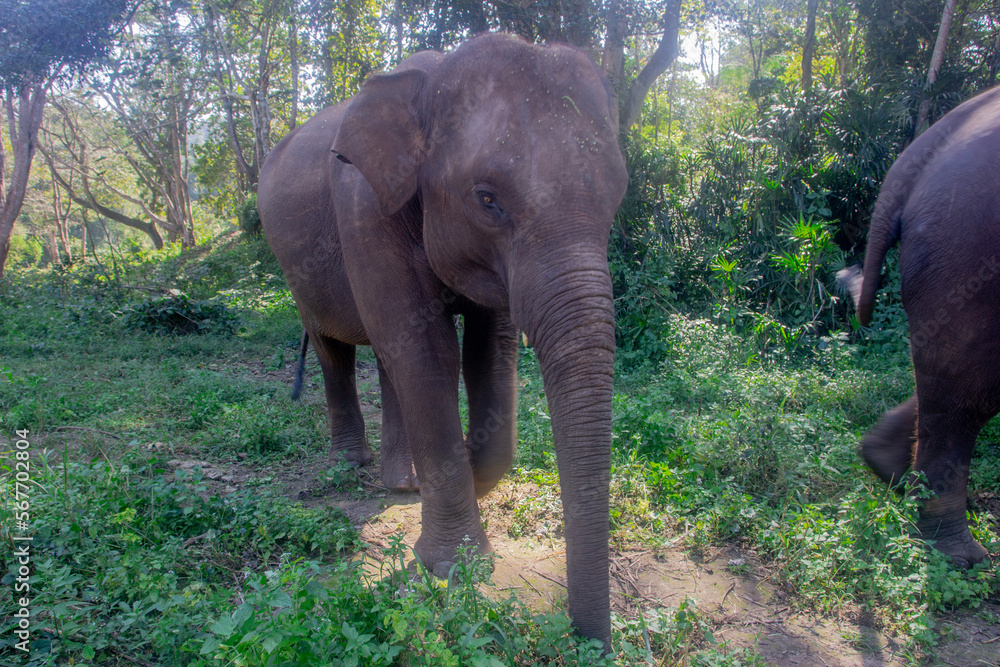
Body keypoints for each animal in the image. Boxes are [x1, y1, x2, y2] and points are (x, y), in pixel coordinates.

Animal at [257, 33, 627, 647]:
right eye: (487, 198)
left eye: (618, 196)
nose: (586, 639)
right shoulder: (363, 208)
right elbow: (427, 352)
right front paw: (455, 565)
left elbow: (488, 350)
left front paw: (474, 477)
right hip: (294, 268)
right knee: (337, 348)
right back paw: (349, 467)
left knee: (386, 356)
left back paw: (404, 485)